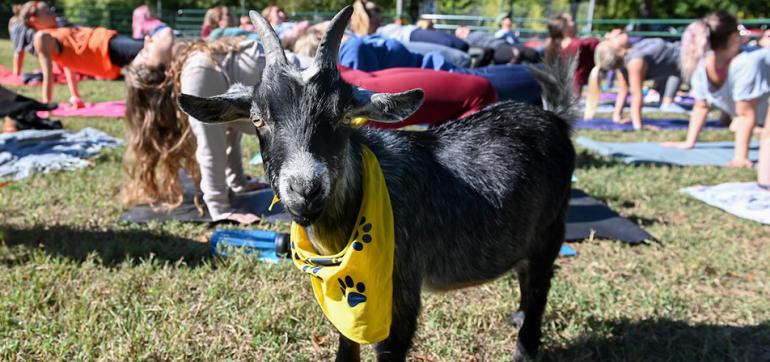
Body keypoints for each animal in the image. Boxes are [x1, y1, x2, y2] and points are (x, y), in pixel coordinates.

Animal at [177, 6, 572, 362]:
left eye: (342, 116)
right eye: (258, 118)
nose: (305, 189)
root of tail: (554, 117)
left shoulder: (401, 289)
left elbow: (390, 346)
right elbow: (346, 342)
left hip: (551, 228)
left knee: (540, 285)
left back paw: (524, 347)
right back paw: (518, 315)